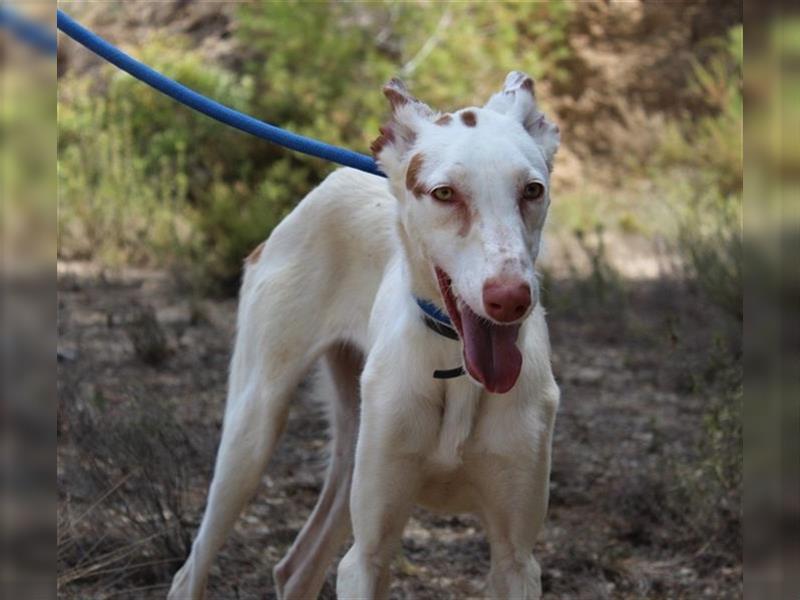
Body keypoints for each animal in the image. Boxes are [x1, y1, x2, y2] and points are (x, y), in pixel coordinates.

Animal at [169, 71, 560, 600]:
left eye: (532, 190)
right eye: (445, 194)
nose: (511, 298)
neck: (454, 365)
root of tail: (333, 180)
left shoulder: (516, 560)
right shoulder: (367, 555)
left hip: (351, 450)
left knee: (294, 569)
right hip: (251, 433)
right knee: (191, 569)